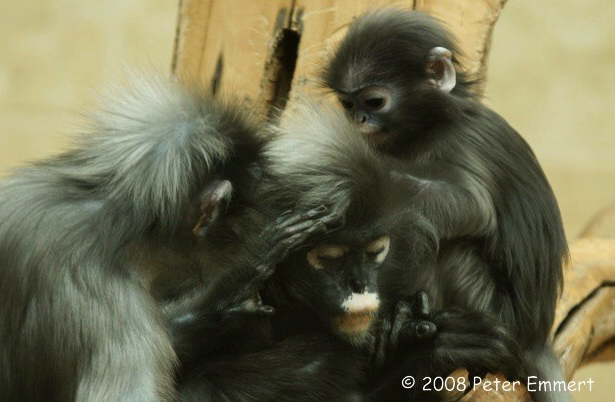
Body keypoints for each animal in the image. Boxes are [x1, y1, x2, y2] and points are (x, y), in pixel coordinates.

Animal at [324, 8, 572, 402]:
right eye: (349, 104)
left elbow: (472, 206)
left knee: (449, 250)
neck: (432, 122)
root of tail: (536, 337)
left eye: (374, 101)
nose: (358, 121)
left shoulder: (458, 142)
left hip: (490, 309)